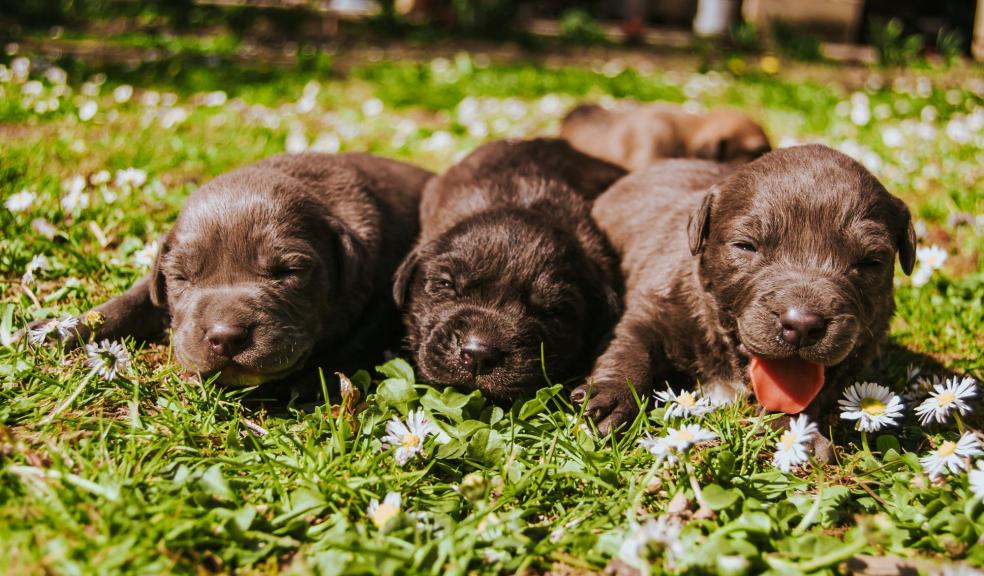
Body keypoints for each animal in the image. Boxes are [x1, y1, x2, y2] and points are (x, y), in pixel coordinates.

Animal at [33, 153, 430, 388]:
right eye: (182, 277)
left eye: (288, 272)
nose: (225, 337)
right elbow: (131, 300)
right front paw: (54, 330)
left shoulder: (379, 298)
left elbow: (347, 346)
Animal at [572, 144, 920, 432]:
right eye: (746, 246)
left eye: (870, 262)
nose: (802, 325)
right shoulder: (653, 306)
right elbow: (630, 345)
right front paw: (612, 398)